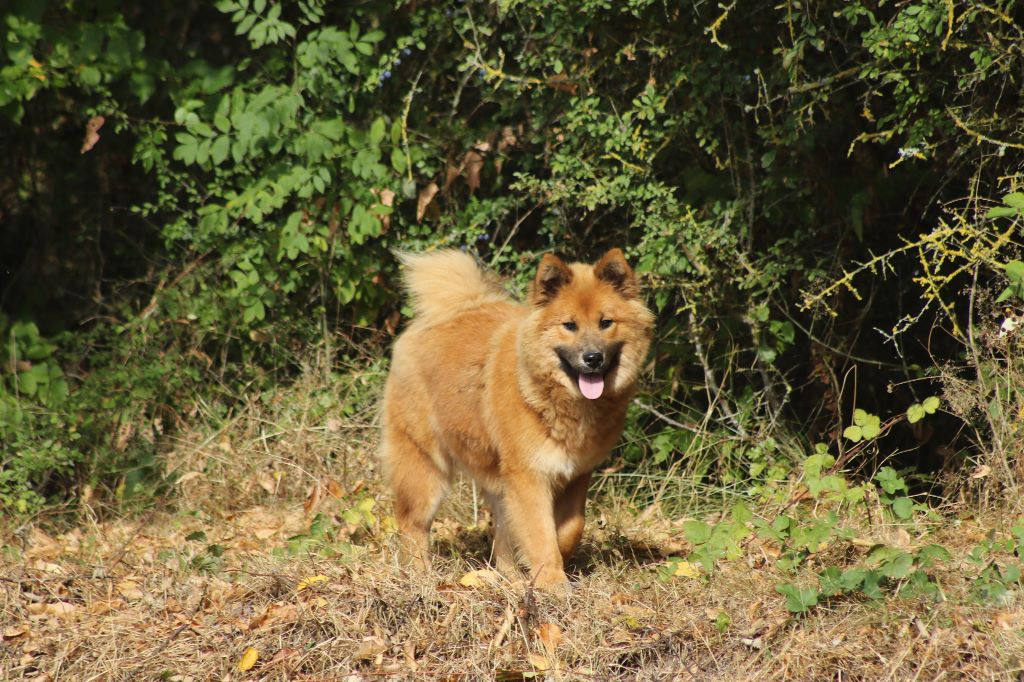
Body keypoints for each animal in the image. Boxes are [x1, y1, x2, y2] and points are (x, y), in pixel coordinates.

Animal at [380, 248, 651, 589]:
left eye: (606, 323)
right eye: (569, 325)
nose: (592, 358)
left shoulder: (575, 475)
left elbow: (570, 527)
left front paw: (545, 566)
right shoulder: (529, 476)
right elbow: (540, 533)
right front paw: (553, 584)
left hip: (495, 476)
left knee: (502, 535)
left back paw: (508, 578)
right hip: (425, 467)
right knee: (412, 524)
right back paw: (420, 575)